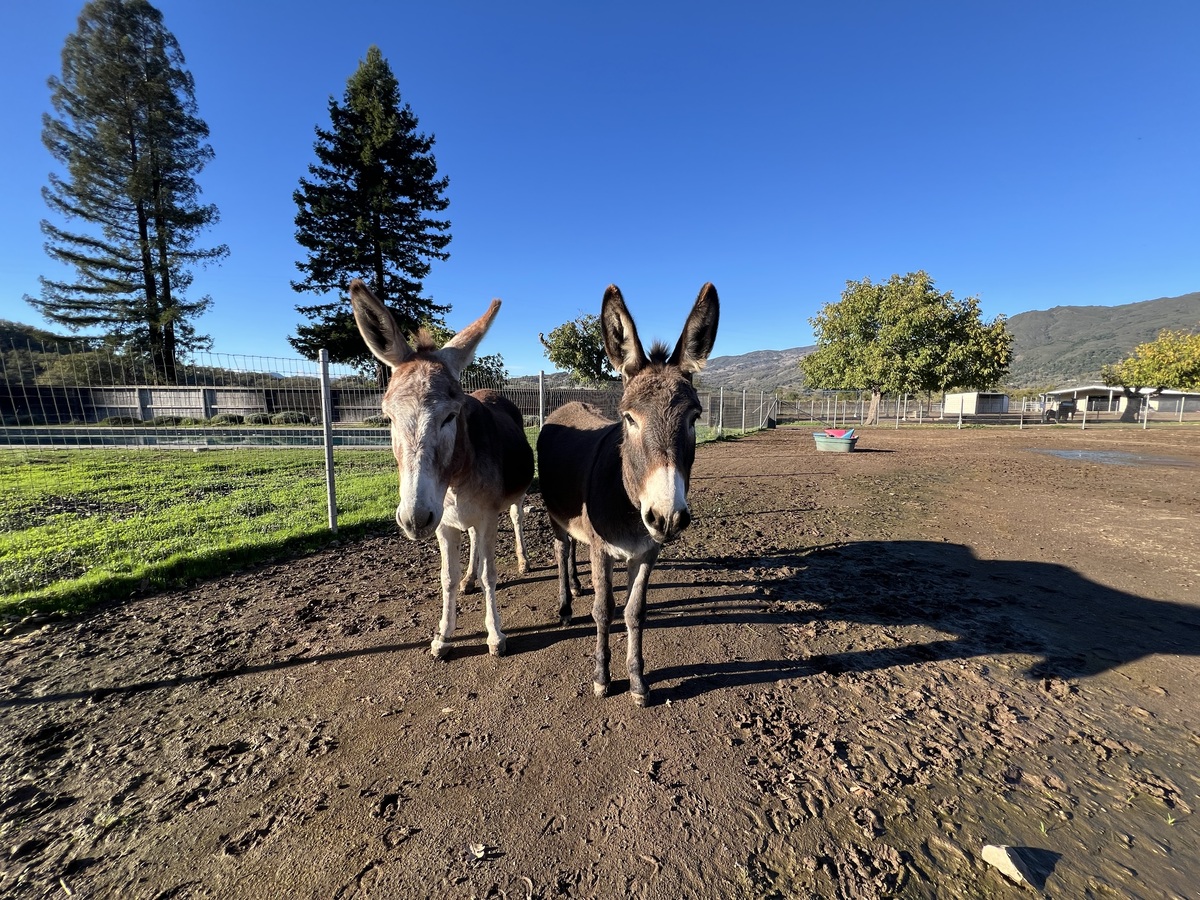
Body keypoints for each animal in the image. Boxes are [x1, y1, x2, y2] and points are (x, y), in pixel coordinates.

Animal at [349, 279, 534, 658]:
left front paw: (495, 635)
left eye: (451, 415)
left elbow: (491, 574)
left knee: (516, 520)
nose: (415, 519)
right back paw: (468, 580)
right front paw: (444, 636)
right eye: (388, 417)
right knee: (473, 546)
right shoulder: (444, 524)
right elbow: (447, 577)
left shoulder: (487, 516)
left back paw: (522, 561)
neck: (455, 479)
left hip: (513, 500)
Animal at [537, 283, 719, 705]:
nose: (667, 517)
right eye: (628, 418)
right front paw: (602, 678)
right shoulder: (602, 550)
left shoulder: (648, 552)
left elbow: (635, 612)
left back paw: (576, 584)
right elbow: (603, 610)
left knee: (574, 549)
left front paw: (637, 682)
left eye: (694, 418)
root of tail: (566, 405)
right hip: (555, 514)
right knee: (561, 549)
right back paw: (566, 604)